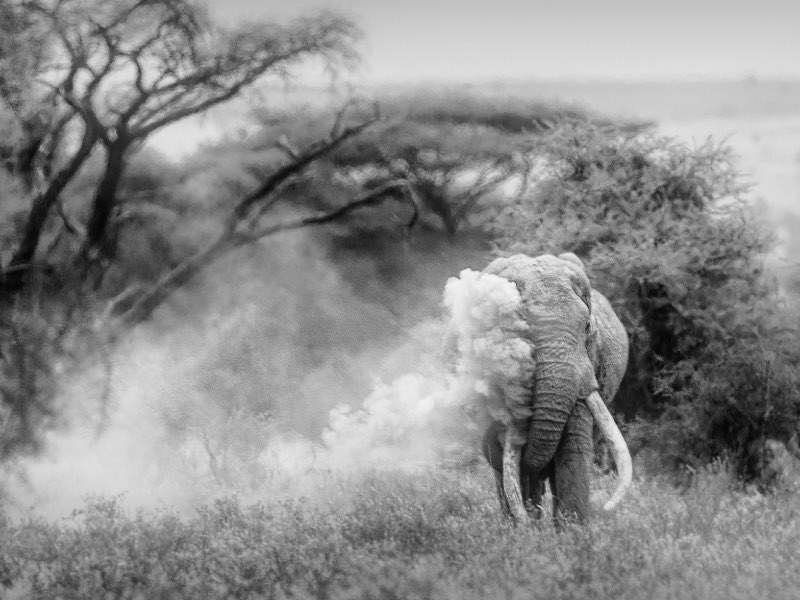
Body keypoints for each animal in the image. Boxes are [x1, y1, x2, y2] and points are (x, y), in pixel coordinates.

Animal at [462, 251, 632, 524]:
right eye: (518, 332)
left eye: (587, 327)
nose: (605, 507)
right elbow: (505, 458)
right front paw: (523, 527)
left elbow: (573, 449)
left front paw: (572, 529)